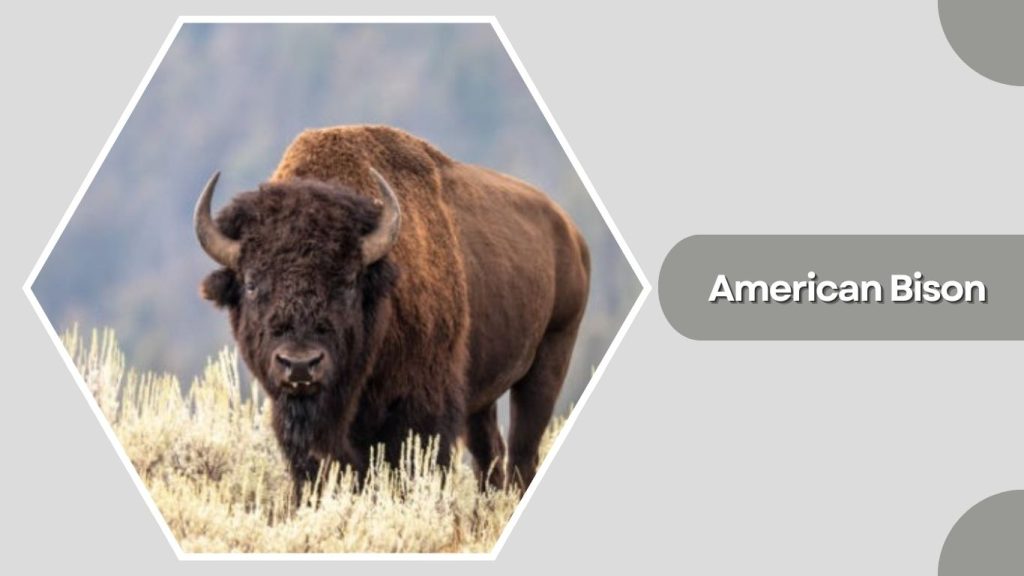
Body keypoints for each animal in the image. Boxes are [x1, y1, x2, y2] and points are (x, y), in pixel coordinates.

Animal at [195, 125, 590, 500]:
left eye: (348, 282)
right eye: (251, 283)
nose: (300, 365)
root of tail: (570, 233)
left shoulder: (422, 413)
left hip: (550, 358)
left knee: (523, 453)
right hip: (483, 394)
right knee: (488, 454)